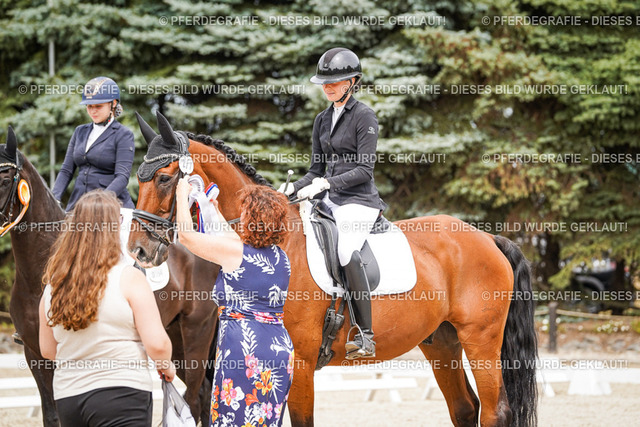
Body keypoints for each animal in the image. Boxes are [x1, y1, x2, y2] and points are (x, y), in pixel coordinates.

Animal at [0, 127, 217, 424]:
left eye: (4, 178)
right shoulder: (35, 353)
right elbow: (52, 415)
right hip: (172, 335)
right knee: (204, 392)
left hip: (197, 329)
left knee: (195, 397)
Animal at [128, 112, 539, 427]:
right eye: (140, 179)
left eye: (163, 178)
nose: (139, 250)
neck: (269, 235)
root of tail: (489, 239)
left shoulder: (299, 363)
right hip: (442, 343)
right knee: (465, 410)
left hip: (481, 341)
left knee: (495, 412)